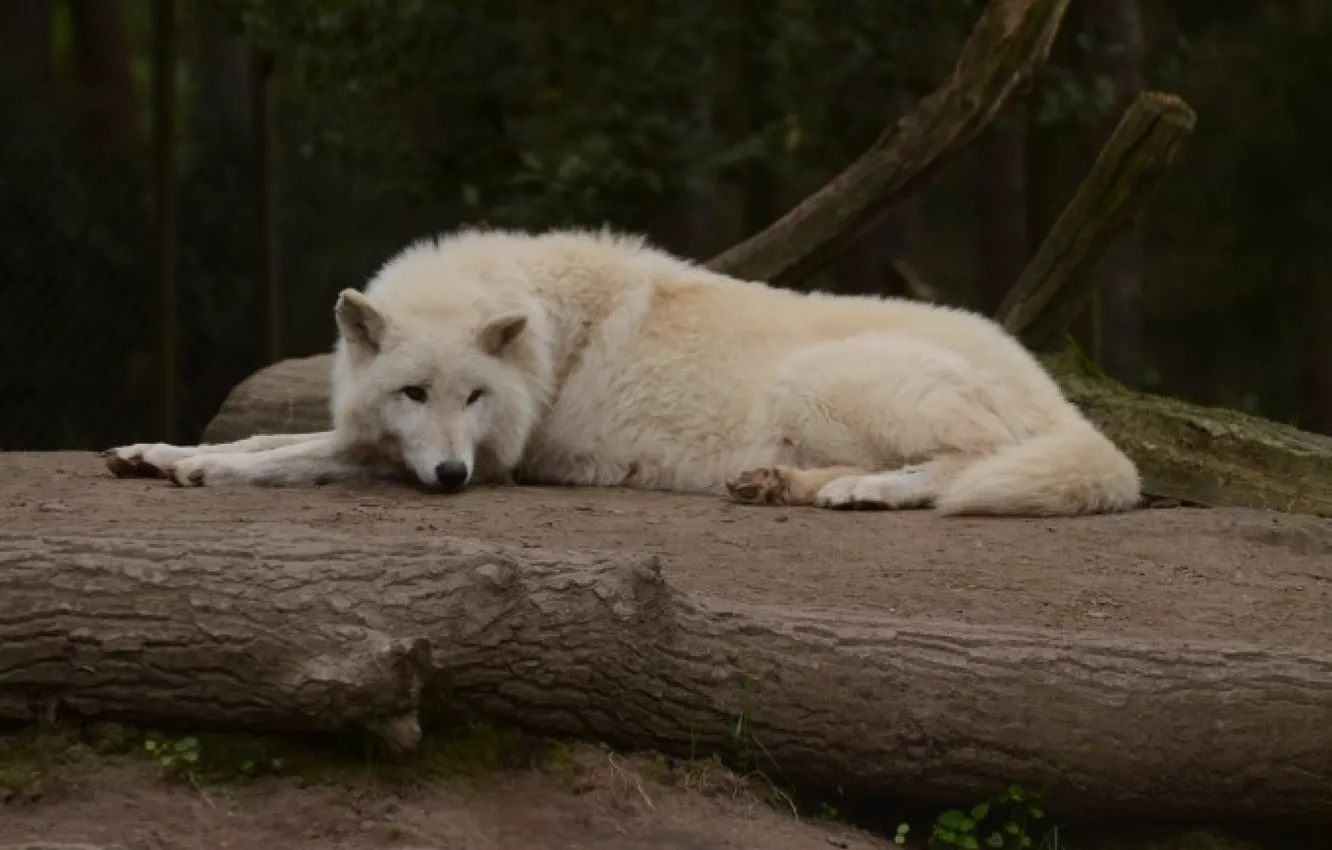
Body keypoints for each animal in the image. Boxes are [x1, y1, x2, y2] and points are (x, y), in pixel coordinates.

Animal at [103, 227, 1141, 516]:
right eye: (414, 393)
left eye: (474, 398)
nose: (452, 478)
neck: (547, 337)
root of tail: (1074, 408)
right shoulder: (382, 433)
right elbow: (275, 435)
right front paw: (154, 453)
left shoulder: (498, 458)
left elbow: (288, 456)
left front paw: (201, 470)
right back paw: (779, 484)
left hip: (819, 381)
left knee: (959, 471)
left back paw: (859, 493)